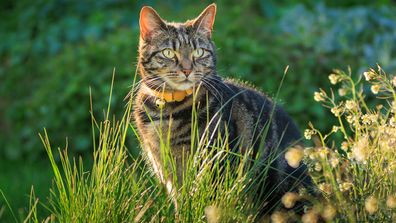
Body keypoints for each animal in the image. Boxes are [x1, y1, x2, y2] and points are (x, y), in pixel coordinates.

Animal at [135, 3, 310, 216]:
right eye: (168, 52)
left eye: (199, 52)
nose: (187, 70)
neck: (167, 110)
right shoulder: (165, 169)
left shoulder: (212, 166)